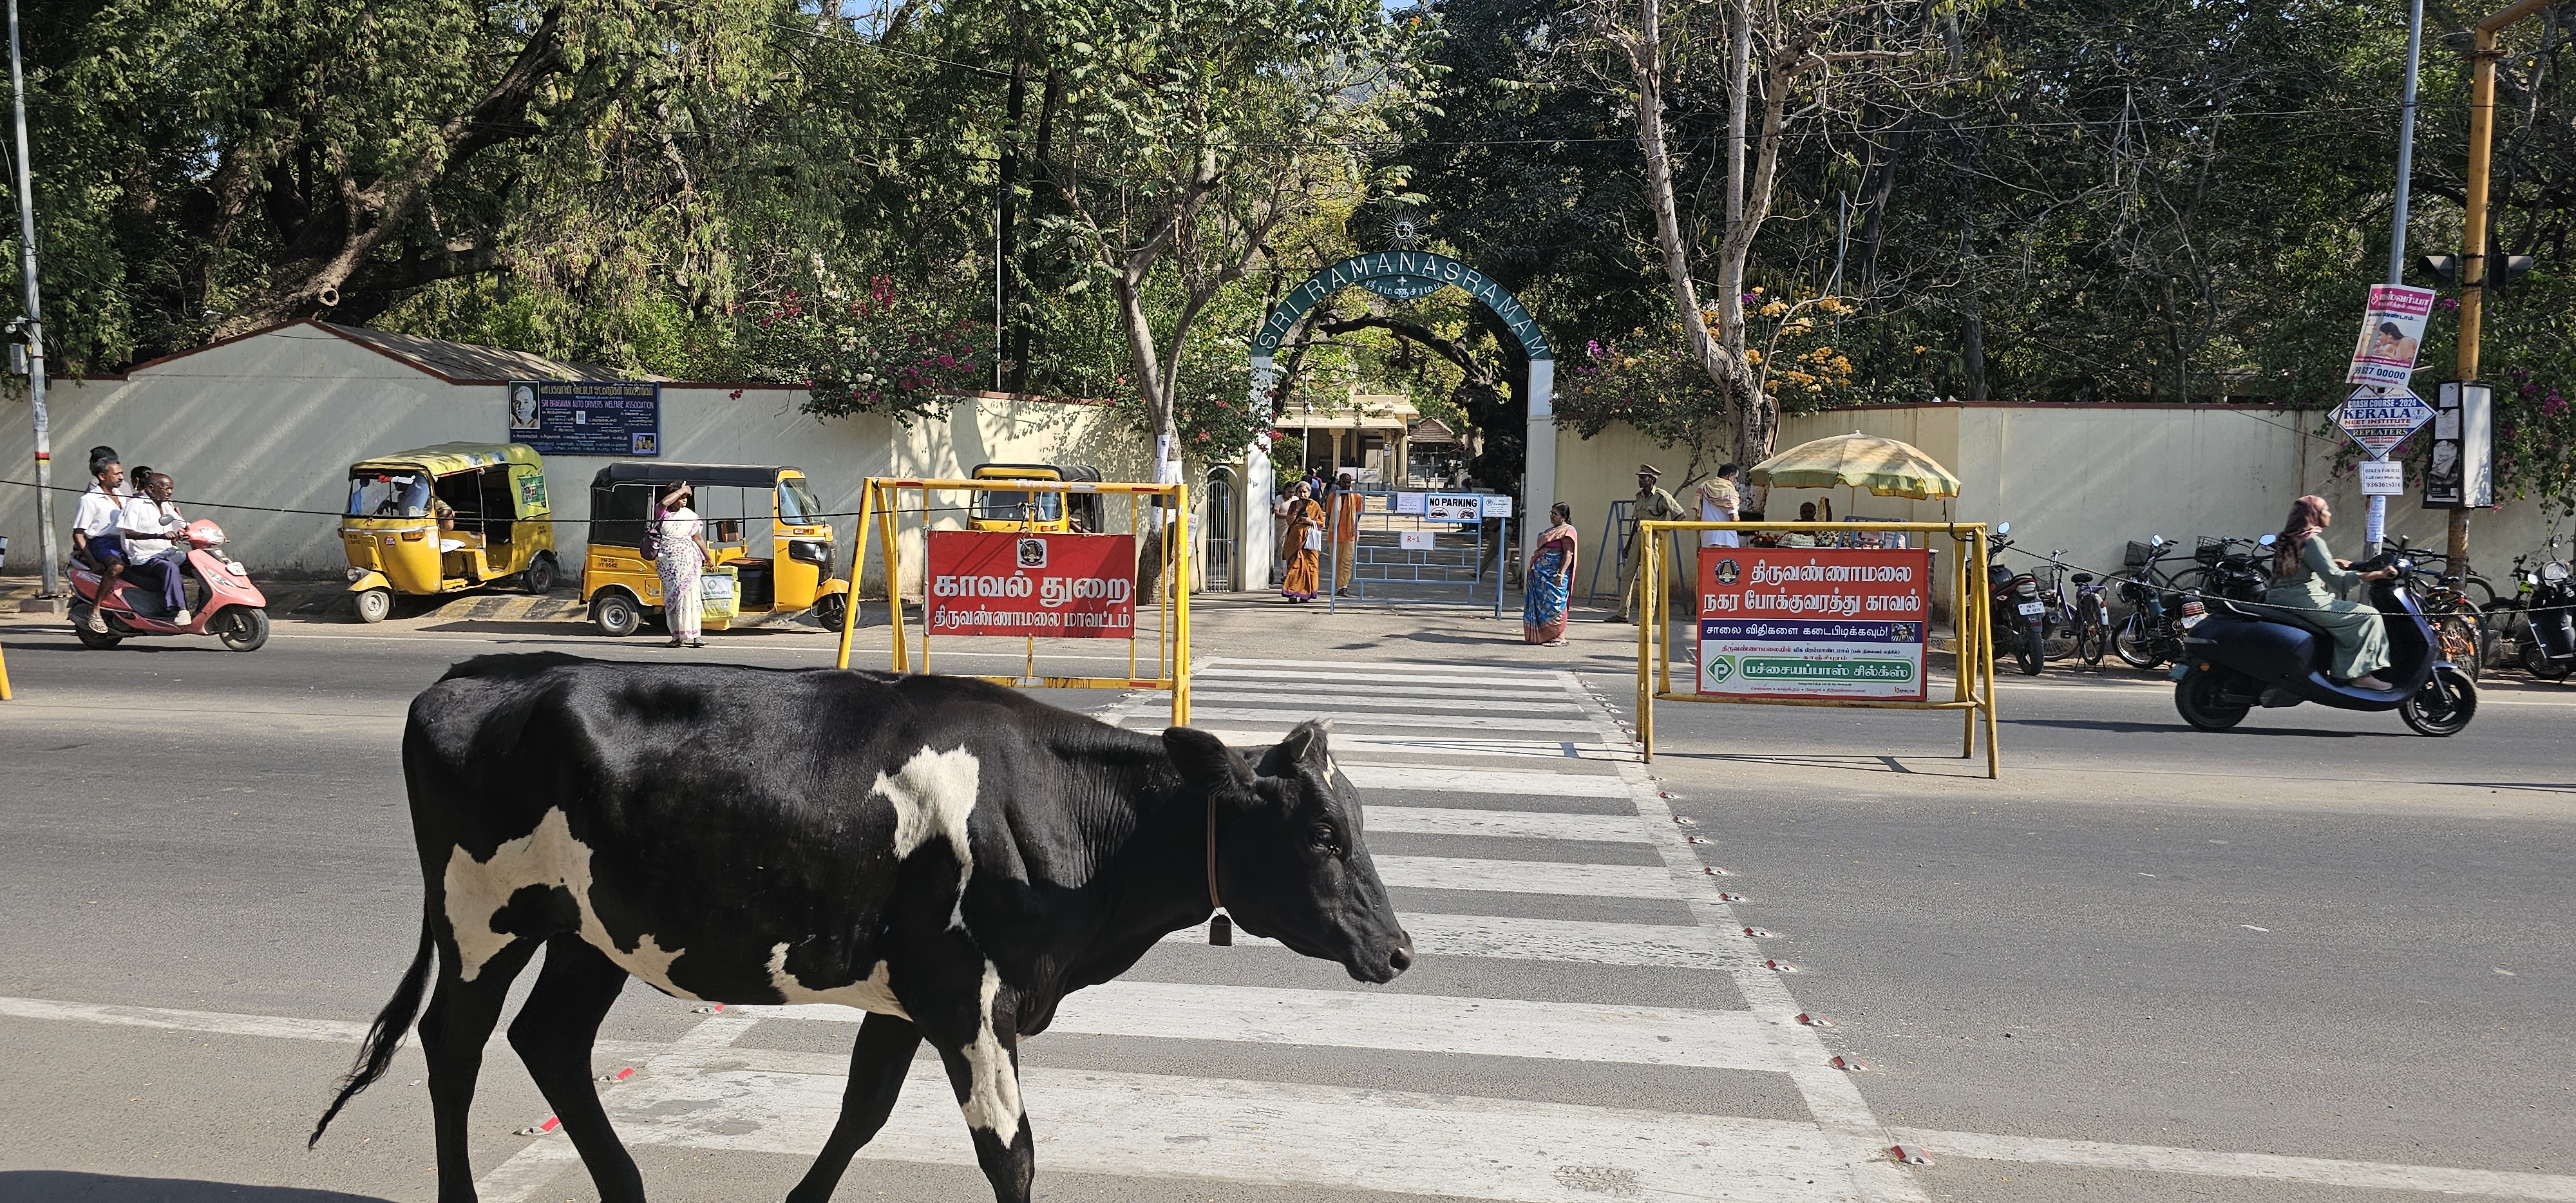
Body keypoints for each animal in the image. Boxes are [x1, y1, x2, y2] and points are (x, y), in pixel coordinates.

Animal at [317, 654, 1432, 1200]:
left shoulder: (911, 997)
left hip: (593, 931)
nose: (1399, 950)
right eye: (1325, 832)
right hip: (482, 917)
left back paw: (628, 1190)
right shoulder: (970, 996)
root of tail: (471, 676)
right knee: (454, 1046)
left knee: (548, 1041)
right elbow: (1011, 1153)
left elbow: (861, 1115)